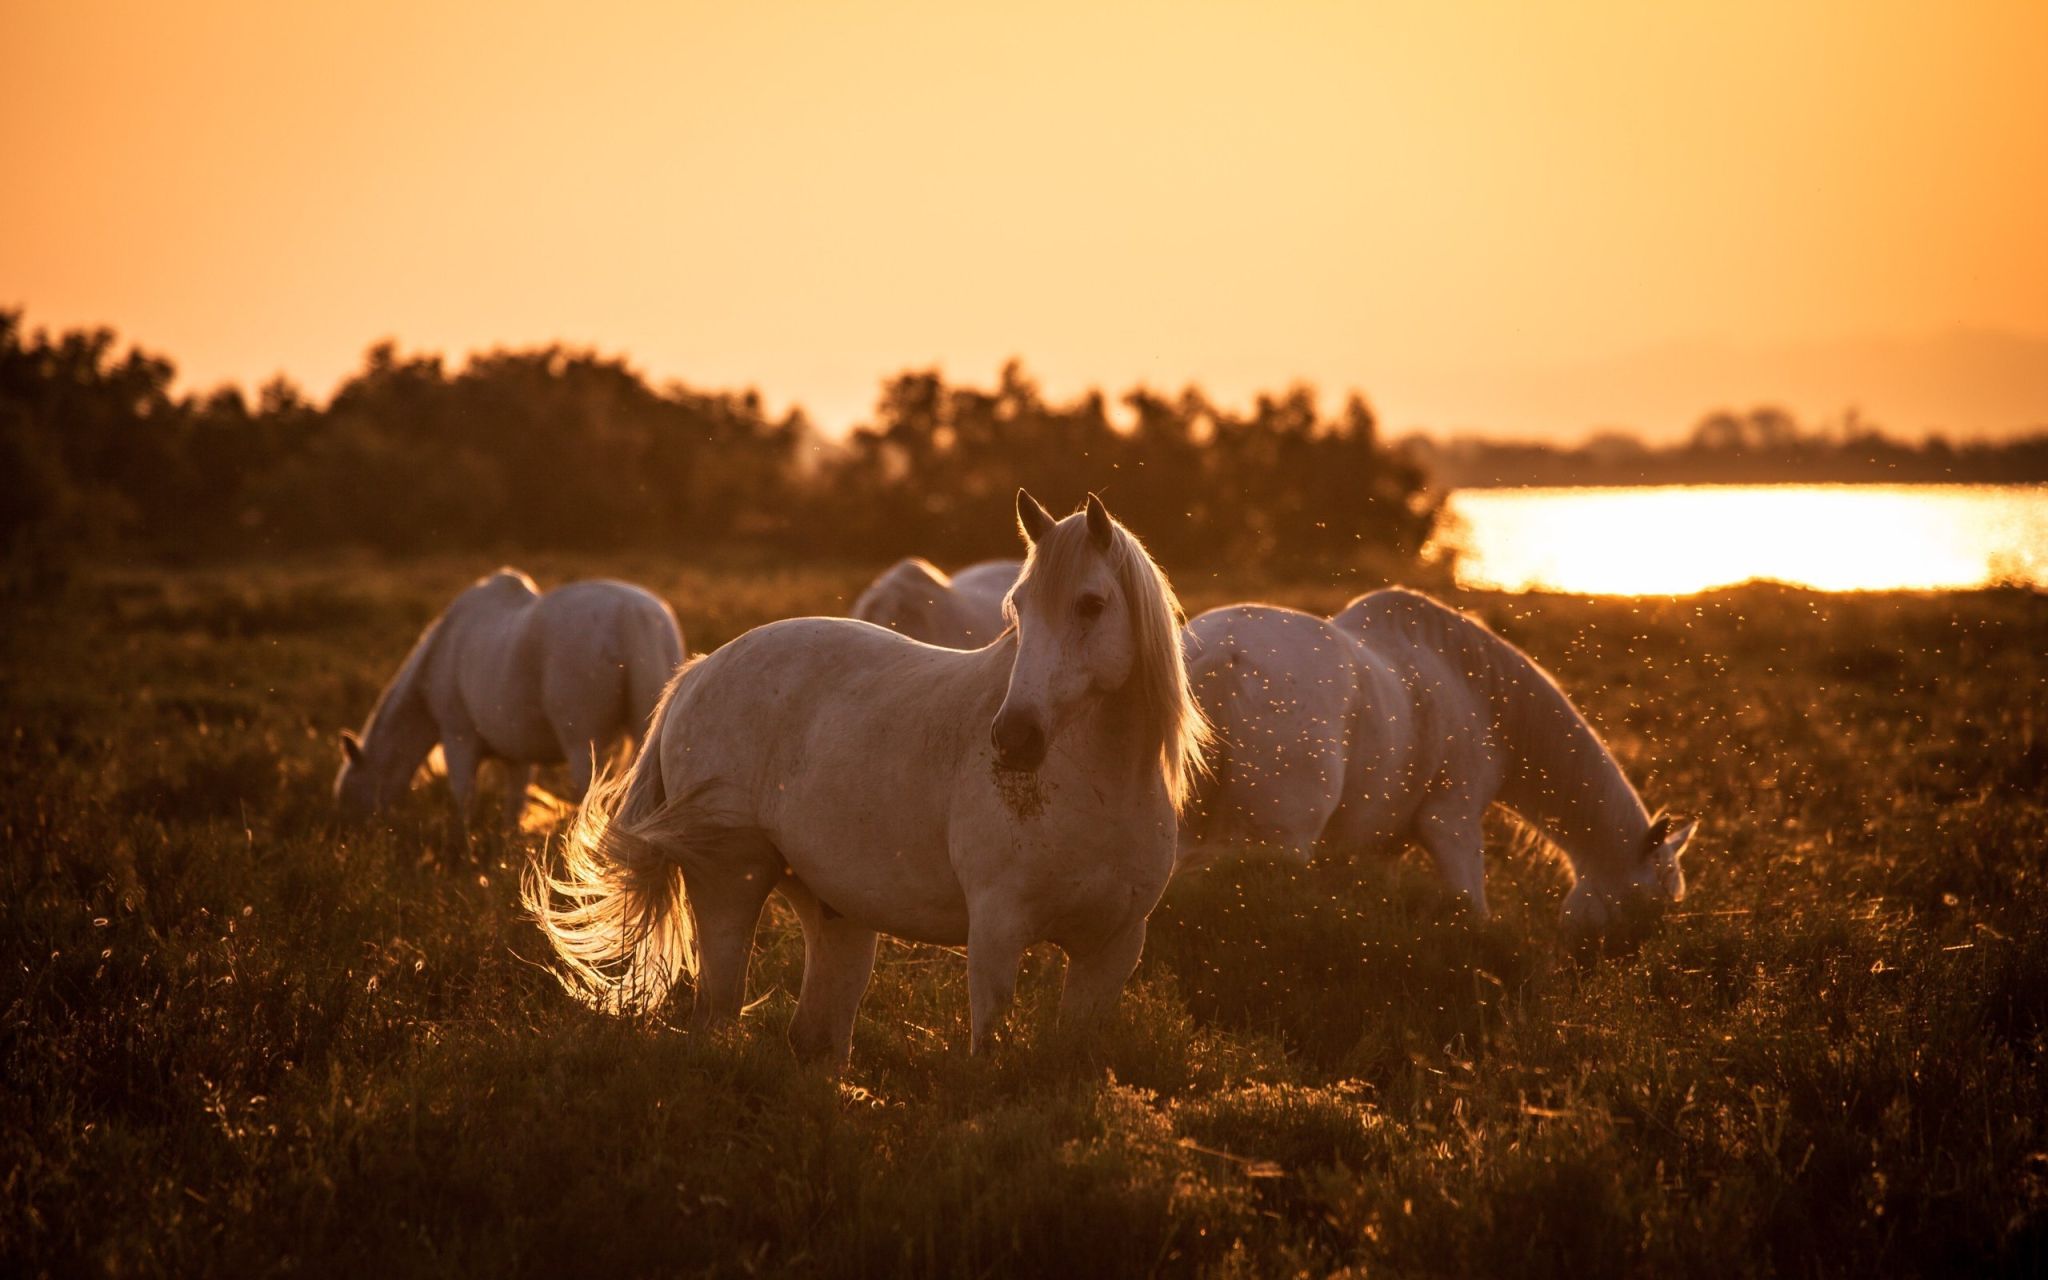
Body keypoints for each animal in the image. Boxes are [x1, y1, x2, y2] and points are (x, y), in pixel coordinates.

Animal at [335, 569, 684, 827]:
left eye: (348, 793)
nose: (347, 842)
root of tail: (634, 617)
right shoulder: (518, 757)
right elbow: (513, 808)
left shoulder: (458, 738)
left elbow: (463, 800)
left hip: (582, 743)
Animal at [1187, 589, 1695, 937]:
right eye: (1651, 904)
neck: (1477, 689)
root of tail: (1219, 654)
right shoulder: (1452, 824)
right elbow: (1473, 909)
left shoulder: (1377, 851)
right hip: (1276, 844)